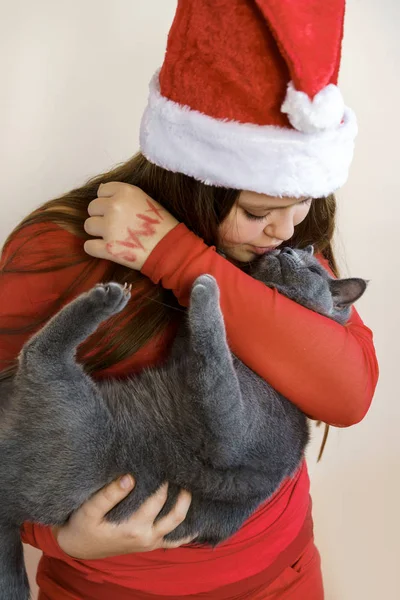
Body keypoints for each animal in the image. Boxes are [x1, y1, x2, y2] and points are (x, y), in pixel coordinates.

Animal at [0, 245, 366, 600]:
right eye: (290, 248)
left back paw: (108, 297)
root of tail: (10, 501)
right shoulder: (186, 361)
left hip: (79, 414)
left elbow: (216, 356)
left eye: (313, 270)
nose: (285, 249)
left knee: (38, 353)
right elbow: (197, 349)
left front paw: (208, 288)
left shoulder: (231, 433)